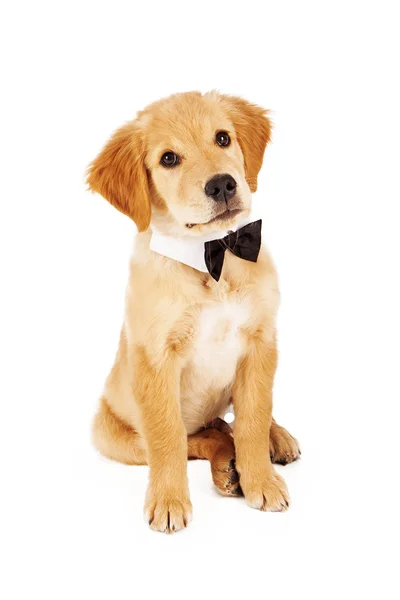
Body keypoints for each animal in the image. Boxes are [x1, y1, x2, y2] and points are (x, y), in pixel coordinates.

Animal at [87, 91, 300, 532]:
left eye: (223, 138)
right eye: (168, 159)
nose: (222, 184)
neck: (210, 256)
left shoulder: (261, 342)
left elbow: (254, 417)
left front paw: (261, 480)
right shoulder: (155, 359)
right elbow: (168, 437)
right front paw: (169, 501)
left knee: (230, 423)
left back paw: (274, 440)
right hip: (114, 434)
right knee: (200, 438)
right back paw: (225, 468)